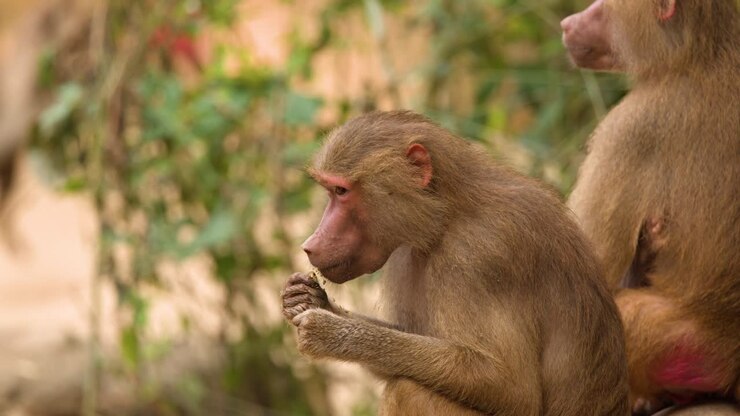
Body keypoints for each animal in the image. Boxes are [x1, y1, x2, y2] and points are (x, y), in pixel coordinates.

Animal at [281, 110, 630, 415]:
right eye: (330, 190)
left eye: (341, 191)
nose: (309, 245)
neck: (447, 216)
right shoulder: (406, 258)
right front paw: (309, 299)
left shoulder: (479, 254)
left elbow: (512, 387)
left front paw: (331, 332)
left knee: (407, 391)